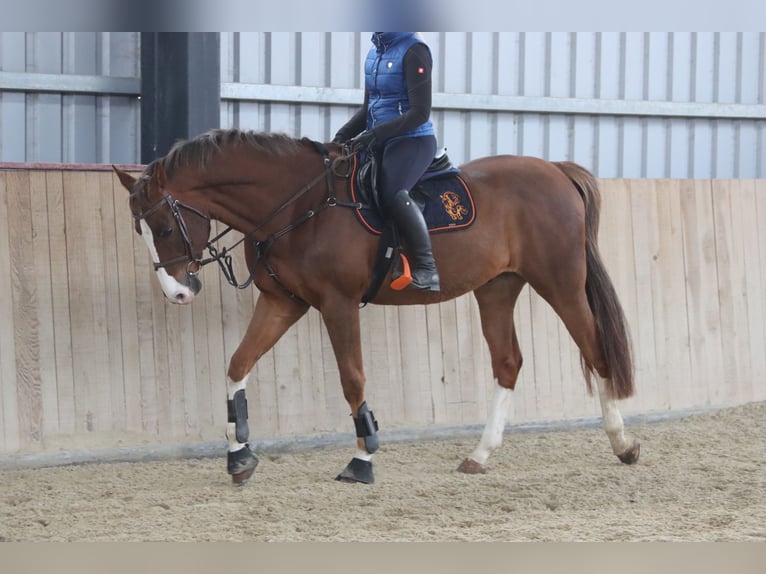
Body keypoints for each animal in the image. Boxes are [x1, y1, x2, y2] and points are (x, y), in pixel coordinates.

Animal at [112, 129, 640, 486]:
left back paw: (624, 444)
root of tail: (555, 169)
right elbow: (238, 363)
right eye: (139, 230)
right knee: (508, 362)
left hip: (560, 284)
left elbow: (352, 379)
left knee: (596, 350)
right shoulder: (284, 302)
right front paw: (239, 455)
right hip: (496, 288)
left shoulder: (337, 303)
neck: (297, 206)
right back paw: (479, 455)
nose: (178, 293)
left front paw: (362, 459)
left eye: (164, 227)